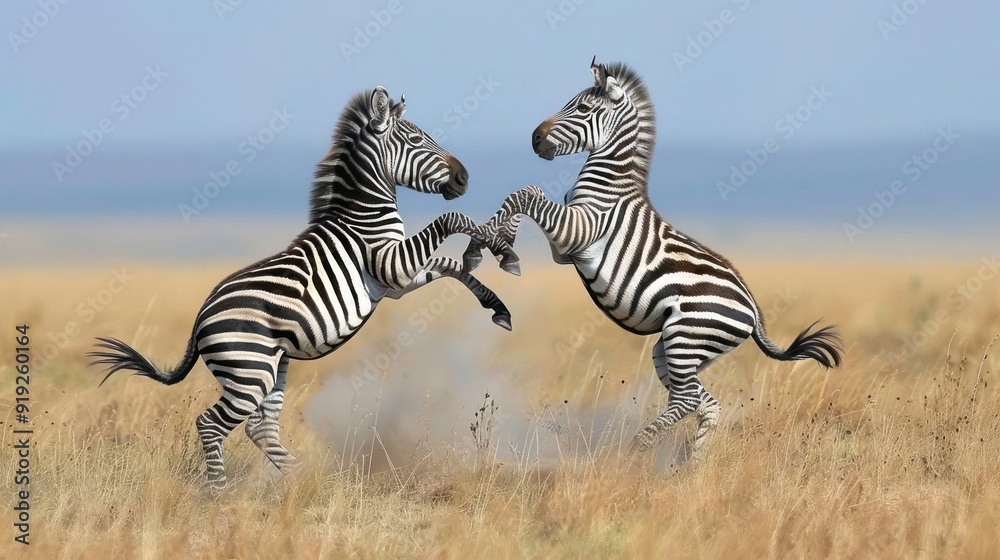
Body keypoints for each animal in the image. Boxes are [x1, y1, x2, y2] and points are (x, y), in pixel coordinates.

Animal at [89, 86, 516, 490]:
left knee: (260, 427)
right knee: (211, 424)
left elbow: (450, 265)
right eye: (414, 139)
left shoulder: (396, 279)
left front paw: (496, 303)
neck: (363, 215)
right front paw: (496, 244)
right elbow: (451, 219)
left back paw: (307, 483)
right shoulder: (390, 265)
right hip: (249, 371)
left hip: (271, 366)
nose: (464, 178)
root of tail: (199, 320)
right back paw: (220, 494)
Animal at [465, 59, 842, 457]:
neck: (609, 184)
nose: (535, 139)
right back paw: (692, 464)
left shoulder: (579, 230)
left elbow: (526, 193)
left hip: (685, 338)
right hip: (676, 347)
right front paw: (503, 239)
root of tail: (753, 311)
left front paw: (485, 240)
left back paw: (638, 449)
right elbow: (529, 194)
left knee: (688, 400)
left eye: (581, 108)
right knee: (705, 404)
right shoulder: (564, 251)